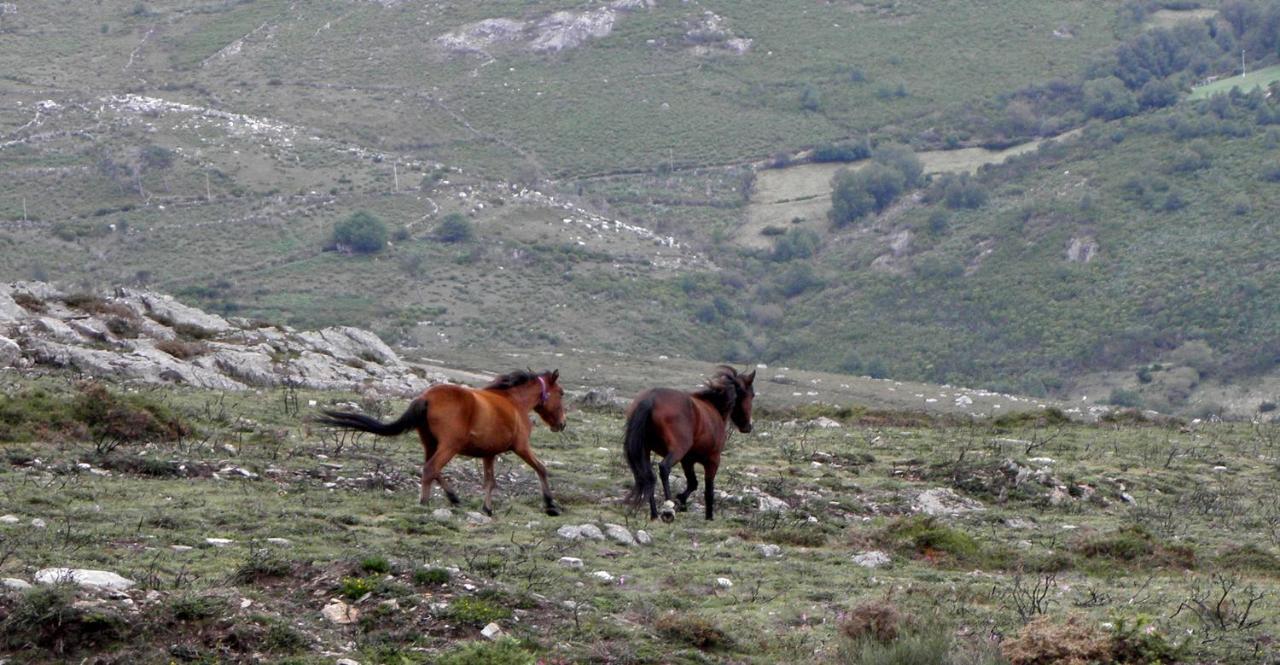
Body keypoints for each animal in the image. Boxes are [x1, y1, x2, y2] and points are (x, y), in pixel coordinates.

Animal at [316, 370, 565, 516]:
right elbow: (541, 468)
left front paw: (487, 509)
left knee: (431, 470)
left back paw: (452, 497)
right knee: (431, 469)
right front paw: (550, 504)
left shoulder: (489, 454)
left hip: (431, 444)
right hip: (449, 446)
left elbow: (489, 482)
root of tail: (425, 397)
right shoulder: (521, 447)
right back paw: (425, 503)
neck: (514, 403)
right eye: (561, 393)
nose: (562, 424)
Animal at [624, 365, 752, 521]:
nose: (748, 426)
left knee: (649, 476)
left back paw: (654, 514)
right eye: (751, 395)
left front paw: (681, 501)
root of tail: (651, 398)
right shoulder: (713, 460)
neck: (714, 408)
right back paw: (668, 509)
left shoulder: (687, 460)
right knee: (664, 468)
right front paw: (708, 516)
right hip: (677, 450)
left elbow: (693, 483)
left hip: (645, 450)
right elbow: (708, 490)